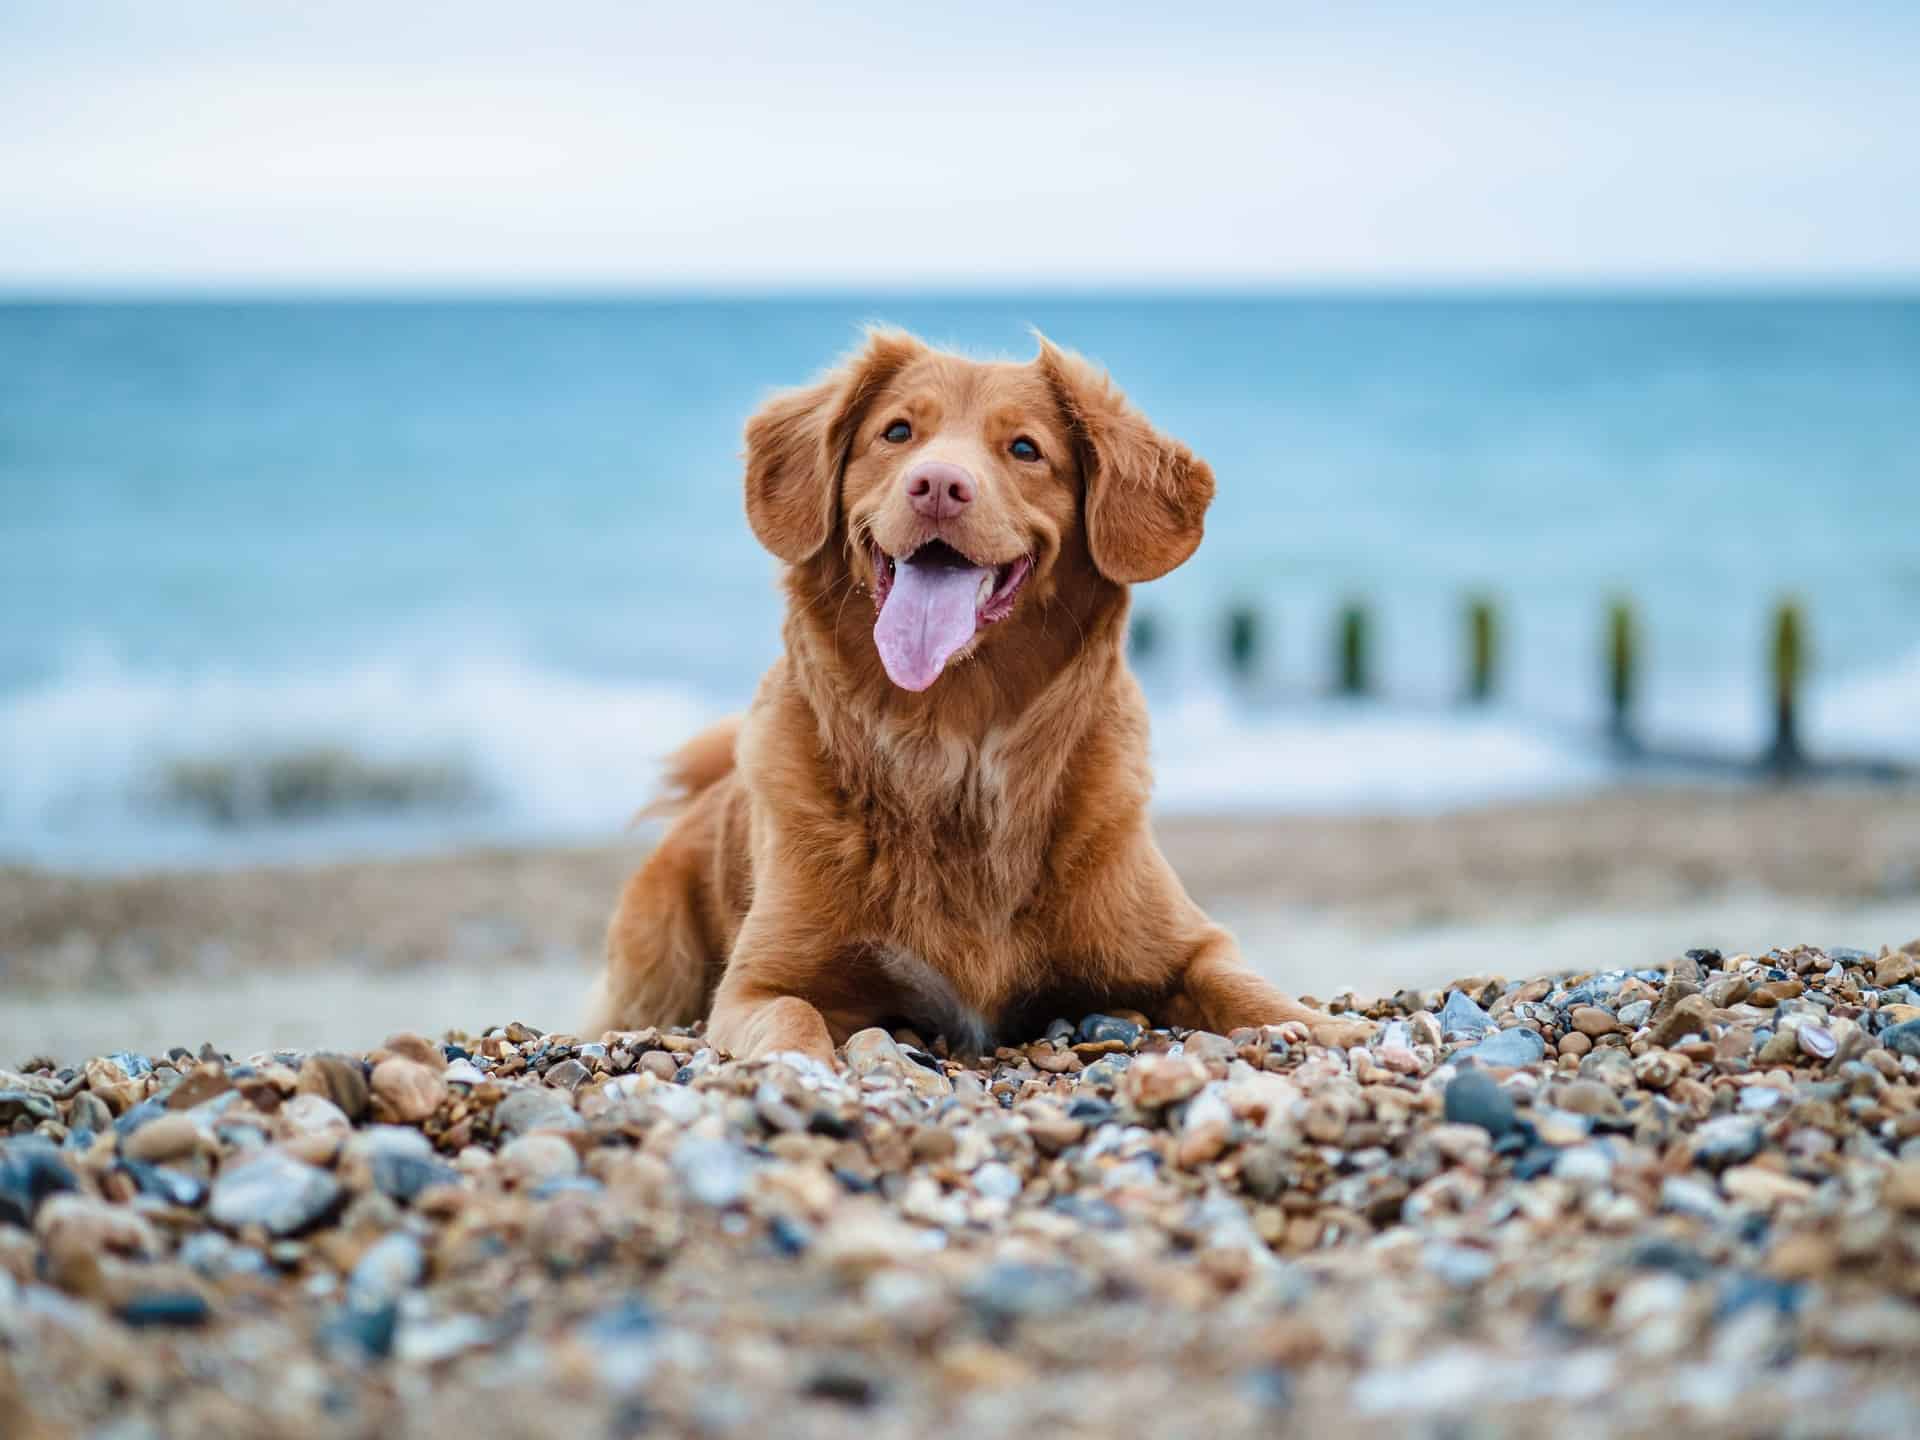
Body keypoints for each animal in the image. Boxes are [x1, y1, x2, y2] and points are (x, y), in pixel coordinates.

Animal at [591, 332, 1374, 1067]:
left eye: (1025, 448)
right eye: (898, 432)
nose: (937, 484)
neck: (952, 747)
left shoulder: (1188, 942)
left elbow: (1243, 984)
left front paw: (1325, 1030)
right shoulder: (757, 983)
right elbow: (792, 1016)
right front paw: (804, 1070)